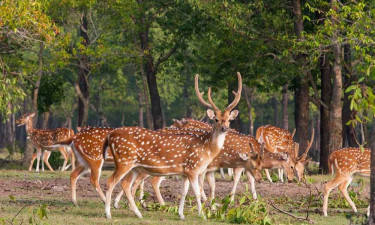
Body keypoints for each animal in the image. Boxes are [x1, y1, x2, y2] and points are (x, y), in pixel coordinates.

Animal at [103, 72, 244, 220]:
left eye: (228, 120)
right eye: (216, 119)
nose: (224, 128)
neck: (207, 150)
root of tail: (110, 136)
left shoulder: (185, 172)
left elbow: (184, 191)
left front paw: (181, 215)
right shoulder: (193, 168)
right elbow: (197, 191)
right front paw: (202, 215)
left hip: (135, 166)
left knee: (126, 184)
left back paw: (138, 213)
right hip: (123, 161)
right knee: (111, 181)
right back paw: (108, 213)